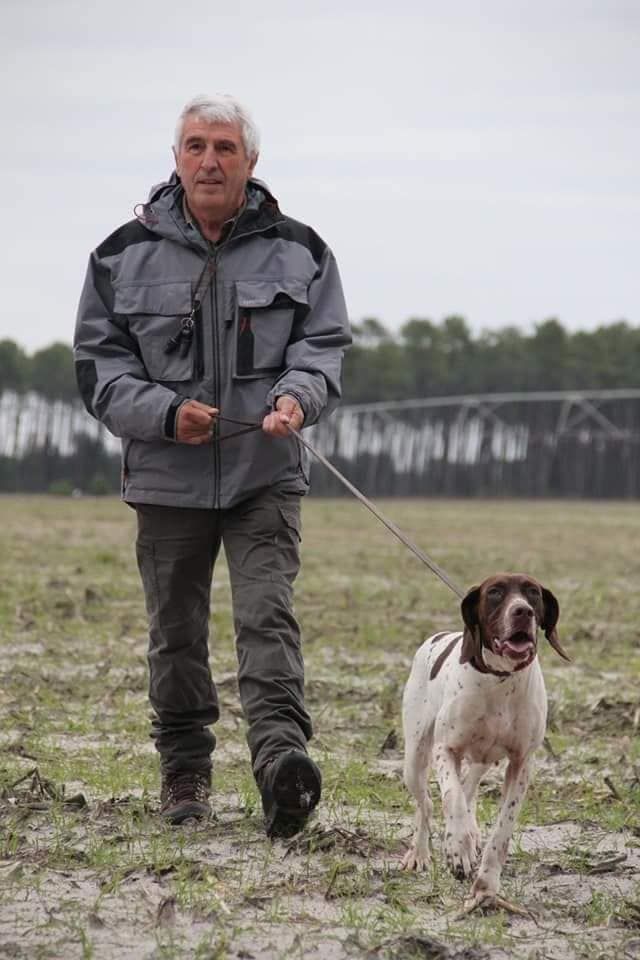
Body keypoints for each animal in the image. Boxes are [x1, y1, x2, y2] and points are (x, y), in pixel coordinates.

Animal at [400, 572, 568, 904]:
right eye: (495, 592)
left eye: (533, 592)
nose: (522, 611)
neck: (500, 679)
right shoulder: (446, 749)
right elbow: (451, 798)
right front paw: (458, 850)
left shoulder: (521, 763)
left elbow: (502, 828)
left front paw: (486, 883)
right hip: (414, 759)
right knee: (427, 804)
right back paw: (420, 852)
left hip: (482, 761)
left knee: (467, 790)